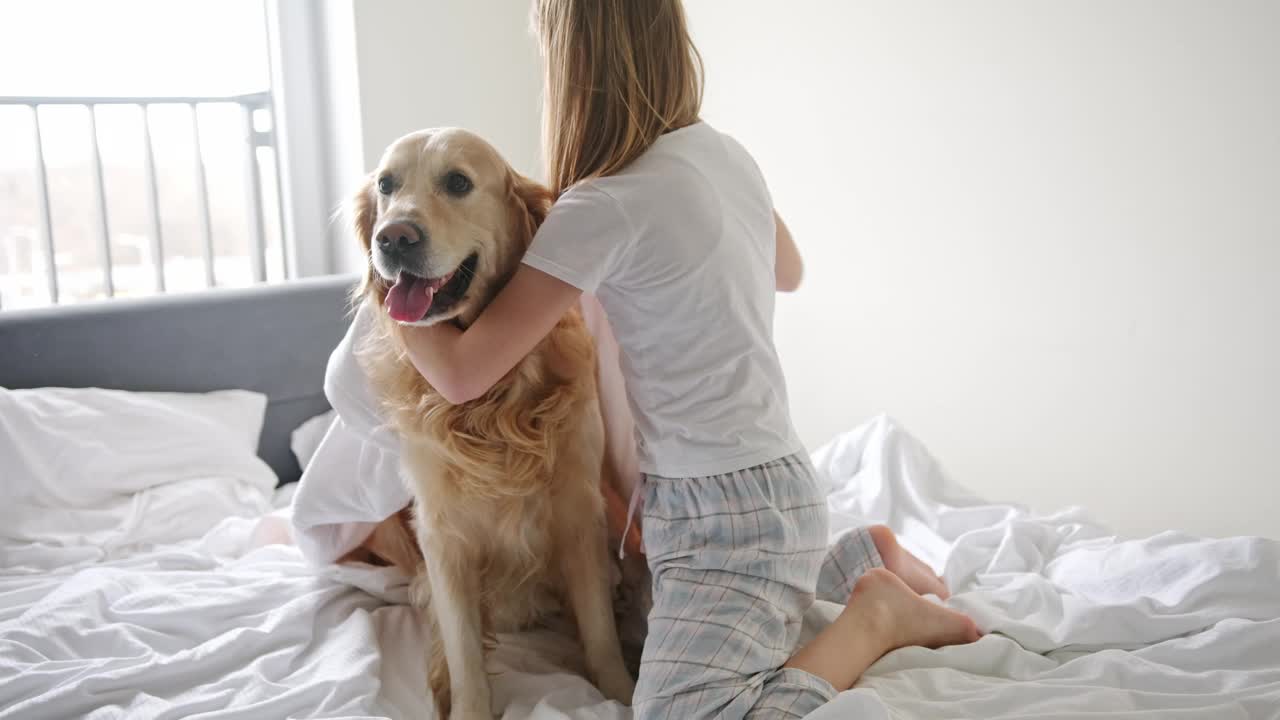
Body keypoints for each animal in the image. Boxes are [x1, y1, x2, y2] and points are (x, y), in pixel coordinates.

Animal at [348, 126, 637, 712]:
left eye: (458, 182)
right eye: (386, 185)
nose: (393, 239)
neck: (493, 405)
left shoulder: (579, 508)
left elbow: (598, 626)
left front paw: (620, 693)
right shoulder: (440, 531)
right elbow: (464, 652)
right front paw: (466, 706)